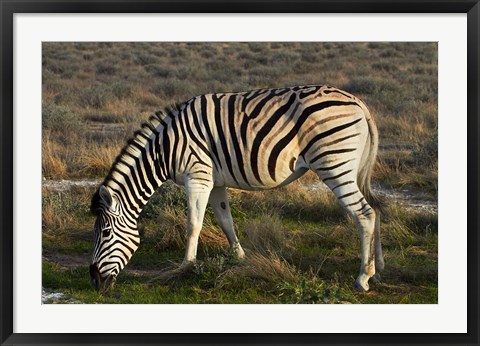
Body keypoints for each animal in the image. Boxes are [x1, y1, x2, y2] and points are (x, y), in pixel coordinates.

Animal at [89, 84, 382, 292]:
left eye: (105, 233)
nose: (93, 281)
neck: (165, 149)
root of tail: (359, 103)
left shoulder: (198, 176)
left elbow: (193, 224)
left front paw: (186, 267)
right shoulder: (215, 182)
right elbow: (225, 220)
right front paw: (239, 257)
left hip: (334, 163)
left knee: (365, 214)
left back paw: (362, 278)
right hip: (351, 166)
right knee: (375, 209)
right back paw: (377, 267)